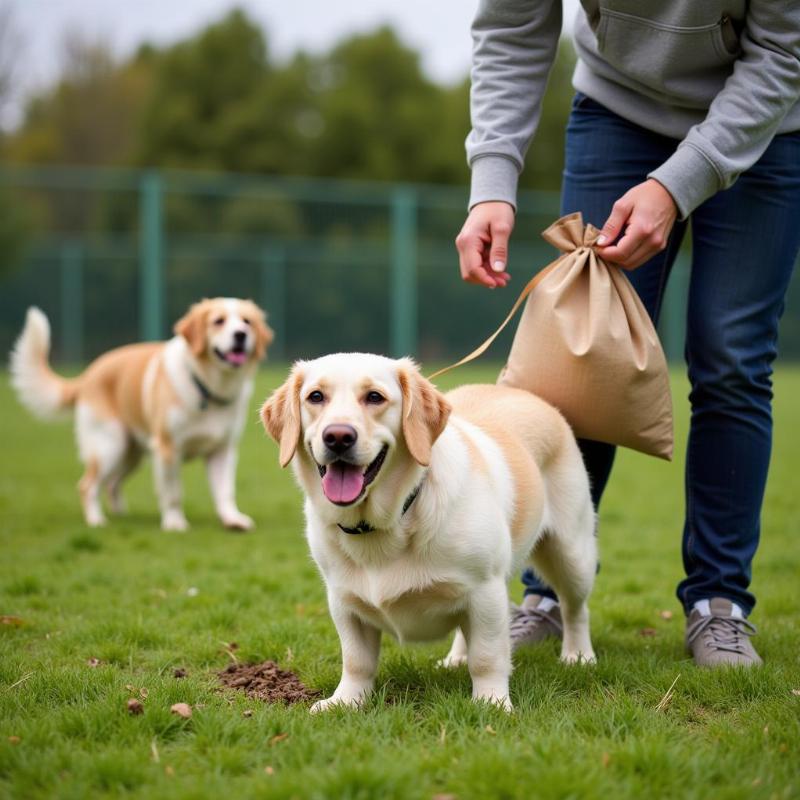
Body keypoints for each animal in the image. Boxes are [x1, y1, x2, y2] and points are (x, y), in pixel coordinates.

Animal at [10, 298, 274, 532]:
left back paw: (121, 515)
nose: (240, 334)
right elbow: (173, 493)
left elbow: (225, 491)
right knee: (87, 486)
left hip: (131, 454)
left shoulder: (222, 450)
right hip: (110, 446)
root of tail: (87, 375)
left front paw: (232, 520)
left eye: (247, 321)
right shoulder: (167, 449)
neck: (208, 388)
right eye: (218, 321)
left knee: (112, 484)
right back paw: (96, 521)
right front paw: (174, 523)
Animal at [262, 354, 592, 708]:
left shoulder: (486, 589)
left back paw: (578, 656)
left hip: (571, 555)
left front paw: (491, 702)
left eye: (375, 397)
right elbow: (356, 660)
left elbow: (487, 657)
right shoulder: (344, 600)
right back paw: (456, 659)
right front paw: (346, 701)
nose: (337, 436)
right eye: (315, 397)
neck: (388, 521)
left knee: (575, 609)